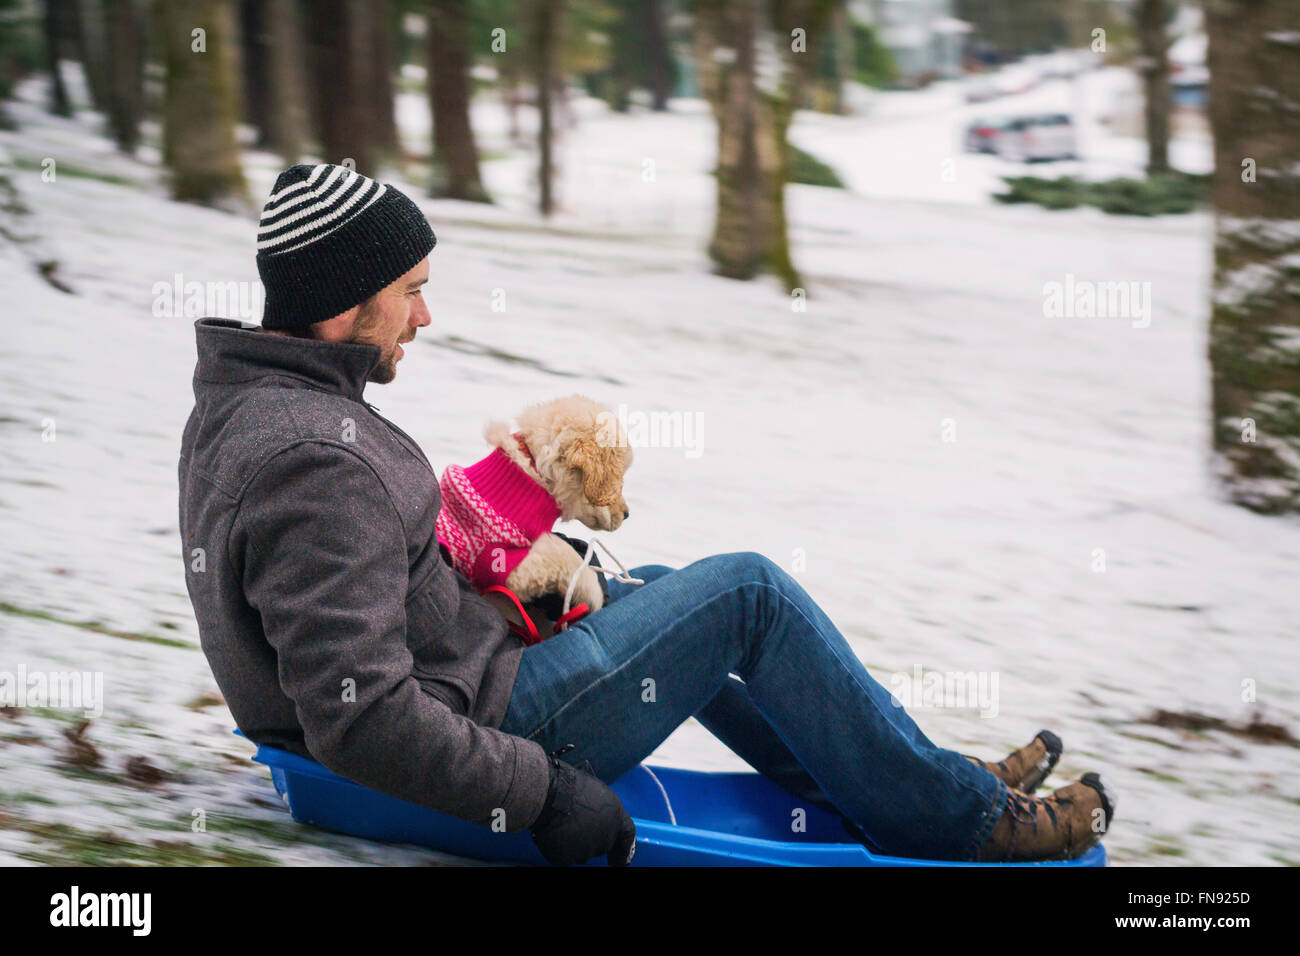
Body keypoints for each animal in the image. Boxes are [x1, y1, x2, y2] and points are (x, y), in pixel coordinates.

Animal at [436, 395, 634, 613]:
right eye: (616, 477)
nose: (627, 514)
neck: (534, 473)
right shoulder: (500, 561)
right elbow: (566, 556)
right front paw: (595, 597)